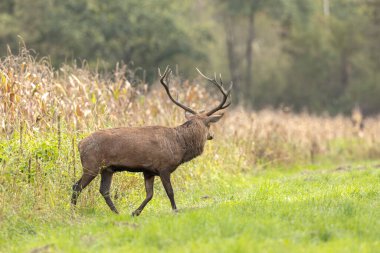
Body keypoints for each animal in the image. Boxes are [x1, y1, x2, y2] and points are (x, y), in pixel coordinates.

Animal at [70, 66, 233, 215]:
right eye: (209, 124)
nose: (211, 135)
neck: (180, 146)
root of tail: (80, 144)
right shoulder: (164, 167)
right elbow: (170, 192)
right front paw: (175, 210)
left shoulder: (148, 170)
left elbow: (149, 194)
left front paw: (135, 212)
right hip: (91, 164)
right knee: (77, 186)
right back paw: (73, 212)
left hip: (107, 168)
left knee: (104, 190)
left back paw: (117, 213)